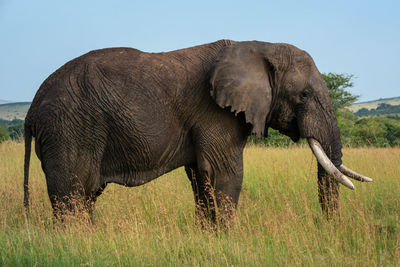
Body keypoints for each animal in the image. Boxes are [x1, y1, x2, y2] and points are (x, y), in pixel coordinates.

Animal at [23, 39, 374, 224]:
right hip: (69, 128)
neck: (259, 47)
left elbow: (201, 179)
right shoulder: (214, 113)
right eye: (303, 95)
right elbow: (224, 175)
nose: (327, 227)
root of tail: (32, 108)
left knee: (82, 197)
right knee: (73, 196)